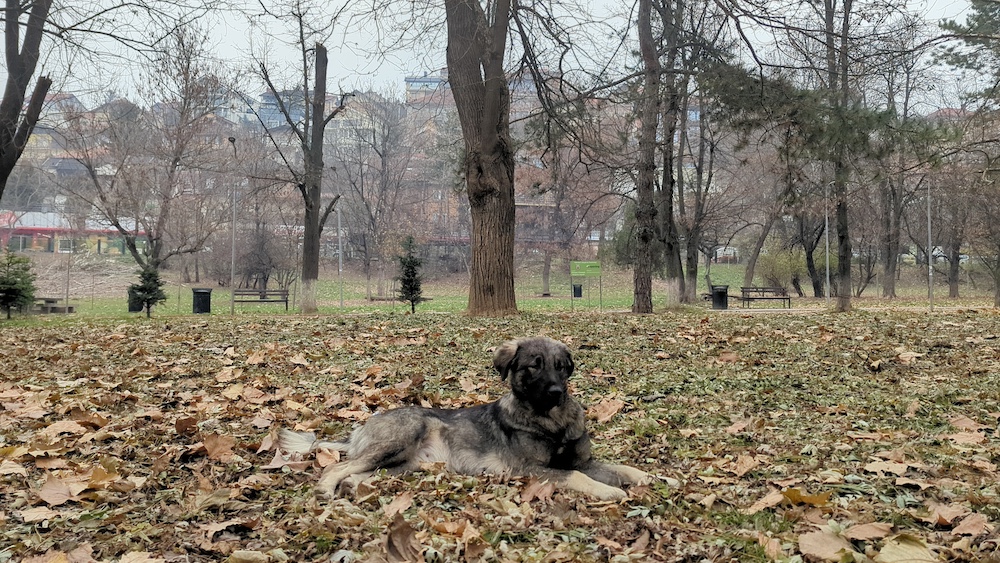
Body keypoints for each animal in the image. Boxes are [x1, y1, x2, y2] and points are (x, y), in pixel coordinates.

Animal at [278, 338, 652, 500]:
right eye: (533, 366)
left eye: (561, 367)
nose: (557, 392)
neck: (552, 421)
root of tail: (363, 425)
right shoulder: (530, 469)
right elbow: (576, 476)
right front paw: (610, 492)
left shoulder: (583, 460)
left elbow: (621, 467)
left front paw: (650, 478)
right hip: (402, 437)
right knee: (338, 467)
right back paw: (327, 489)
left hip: (405, 464)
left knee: (358, 474)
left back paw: (353, 489)